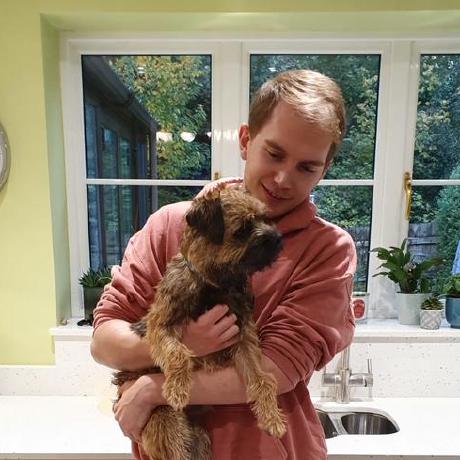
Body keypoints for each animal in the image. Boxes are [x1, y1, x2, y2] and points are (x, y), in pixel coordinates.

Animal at [113, 186, 286, 460]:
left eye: (264, 218)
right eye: (243, 228)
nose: (279, 238)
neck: (217, 284)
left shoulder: (243, 339)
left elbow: (263, 380)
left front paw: (271, 417)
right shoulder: (160, 326)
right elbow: (178, 353)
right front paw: (178, 387)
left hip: (199, 440)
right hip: (167, 423)